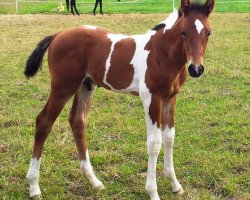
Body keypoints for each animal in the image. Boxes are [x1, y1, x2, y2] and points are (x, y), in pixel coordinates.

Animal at [25, 0, 215, 199]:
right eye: (183, 32)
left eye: (209, 32)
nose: (196, 69)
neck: (162, 54)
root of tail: (58, 35)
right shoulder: (151, 98)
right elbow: (154, 143)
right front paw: (153, 191)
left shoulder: (170, 98)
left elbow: (169, 138)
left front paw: (175, 184)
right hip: (63, 87)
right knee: (44, 122)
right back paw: (34, 186)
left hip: (85, 85)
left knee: (77, 121)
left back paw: (94, 181)